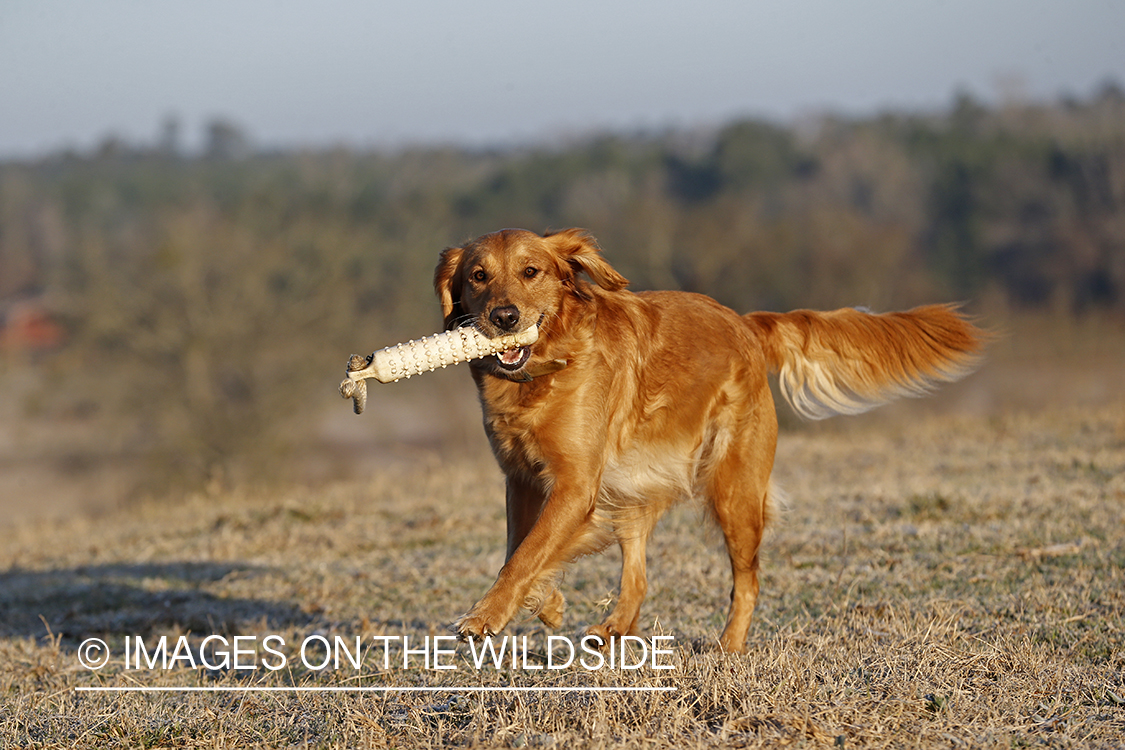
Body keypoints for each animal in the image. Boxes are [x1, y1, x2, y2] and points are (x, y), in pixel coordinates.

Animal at [434, 226, 981, 652]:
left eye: (531, 272)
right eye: (478, 276)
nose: (504, 317)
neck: (542, 370)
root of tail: (745, 321)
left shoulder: (576, 484)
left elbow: (528, 553)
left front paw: (485, 616)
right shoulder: (521, 479)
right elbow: (519, 550)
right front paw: (543, 602)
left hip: (733, 491)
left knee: (749, 581)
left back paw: (729, 648)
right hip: (638, 485)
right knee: (639, 576)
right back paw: (614, 628)